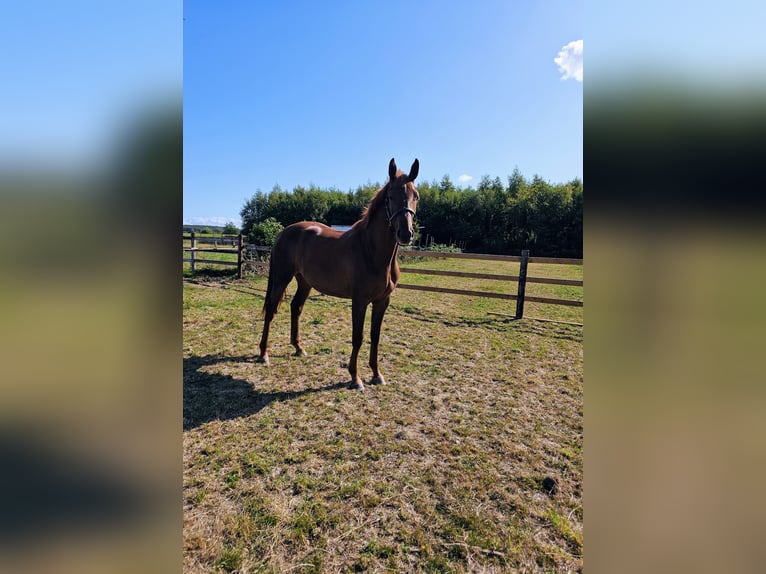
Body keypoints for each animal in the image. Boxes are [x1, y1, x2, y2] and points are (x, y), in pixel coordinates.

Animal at [256, 158, 420, 391]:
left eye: (416, 196)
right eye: (390, 197)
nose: (405, 234)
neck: (371, 251)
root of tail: (284, 232)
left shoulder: (382, 301)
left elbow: (375, 336)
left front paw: (377, 374)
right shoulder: (359, 301)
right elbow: (358, 337)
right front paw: (355, 378)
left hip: (304, 282)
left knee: (296, 307)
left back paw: (298, 348)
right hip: (281, 278)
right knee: (270, 310)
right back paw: (264, 354)